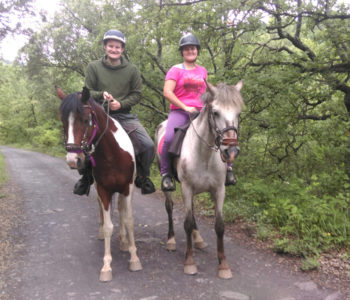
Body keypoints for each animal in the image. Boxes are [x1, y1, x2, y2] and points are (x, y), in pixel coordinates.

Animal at [56, 86, 142, 282]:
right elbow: (109, 225)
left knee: (121, 208)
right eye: (63, 121)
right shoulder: (103, 189)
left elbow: (129, 220)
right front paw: (106, 266)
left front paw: (134, 258)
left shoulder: (128, 188)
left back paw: (124, 240)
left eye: (86, 120)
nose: (73, 160)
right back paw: (102, 233)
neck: (112, 154)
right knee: (102, 209)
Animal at [156, 81, 243, 278]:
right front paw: (189, 262)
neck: (204, 154)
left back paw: (198, 239)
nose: (231, 151)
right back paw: (171, 240)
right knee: (169, 207)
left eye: (238, 113)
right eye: (216, 112)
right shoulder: (187, 188)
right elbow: (187, 223)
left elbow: (219, 225)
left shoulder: (219, 190)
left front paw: (223, 265)